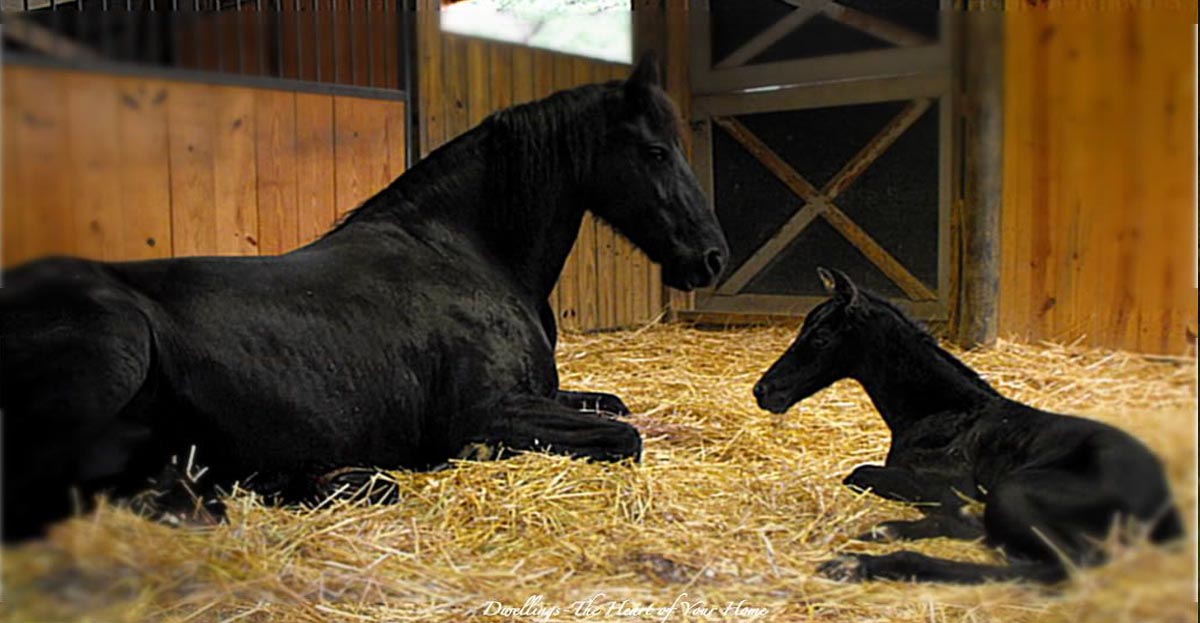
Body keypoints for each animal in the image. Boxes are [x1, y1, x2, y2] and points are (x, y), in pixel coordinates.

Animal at [748, 267, 1180, 585]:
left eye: (820, 337)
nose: (763, 390)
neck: (941, 412)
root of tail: (1163, 503)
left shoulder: (951, 480)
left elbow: (861, 474)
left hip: (1013, 491)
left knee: (1058, 567)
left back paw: (863, 562)